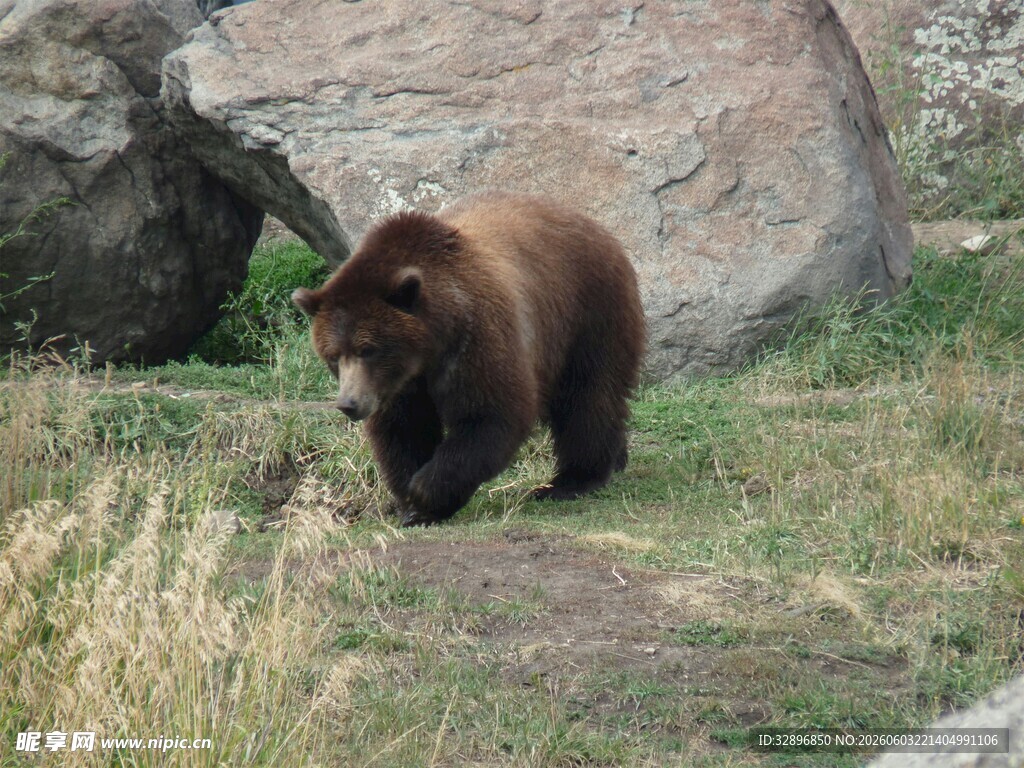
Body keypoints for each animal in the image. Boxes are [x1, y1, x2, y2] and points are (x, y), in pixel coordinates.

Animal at [292, 191, 646, 526]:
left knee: (587, 396)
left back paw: (572, 480)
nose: (349, 403)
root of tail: (596, 226)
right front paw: (411, 502)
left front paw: (425, 493)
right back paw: (616, 458)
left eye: (368, 349)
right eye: (333, 356)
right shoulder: (398, 385)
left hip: (588, 312)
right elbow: (404, 430)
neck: (429, 347)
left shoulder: (477, 337)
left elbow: (490, 415)